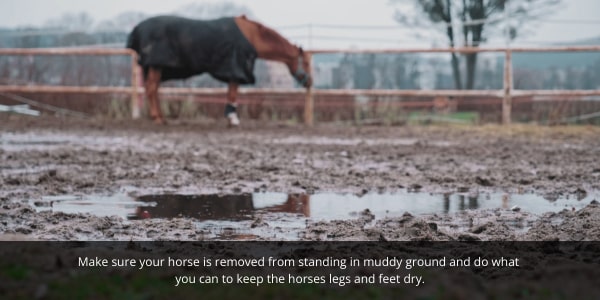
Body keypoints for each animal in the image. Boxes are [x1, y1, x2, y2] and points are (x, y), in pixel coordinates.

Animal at [126, 14, 314, 125]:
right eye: (305, 62)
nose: (310, 82)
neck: (252, 36)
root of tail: (137, 29)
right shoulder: (235, 70)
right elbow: (233, 93)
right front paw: (232, 118)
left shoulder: (233, 71)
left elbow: (231, 93)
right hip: (156, 66)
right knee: (151, 89)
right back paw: (157, 118)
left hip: (156, 67)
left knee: (154, 89)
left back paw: (160, 117)